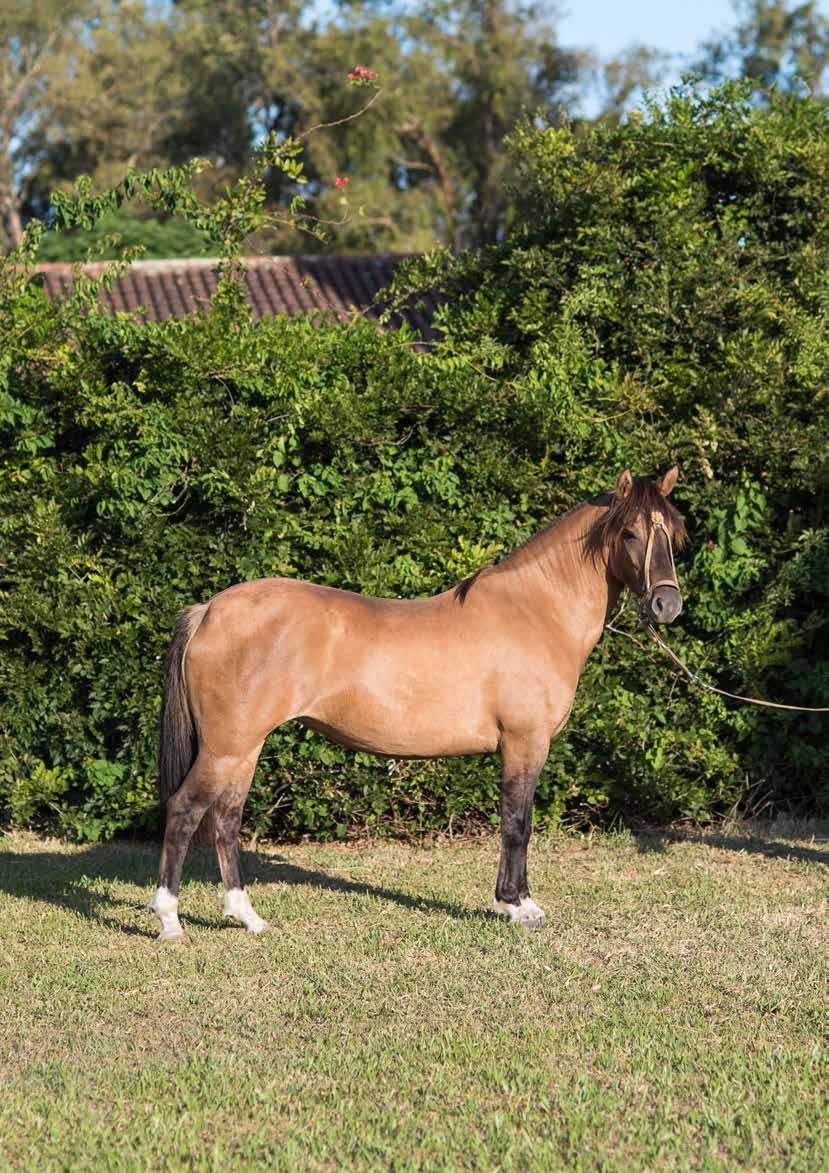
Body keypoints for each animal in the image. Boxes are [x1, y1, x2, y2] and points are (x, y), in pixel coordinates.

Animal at [151, 462, 689, 938]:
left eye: (673, 536)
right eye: (629, 533)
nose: (667, 605)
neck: (535, 612)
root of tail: (210, 610)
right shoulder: (525, 742)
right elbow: (518, 822)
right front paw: (519, 907)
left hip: (244, 747)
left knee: (226, 819)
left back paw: (249, 918)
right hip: (227, 746)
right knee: (185, 810)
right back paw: (170, 920)